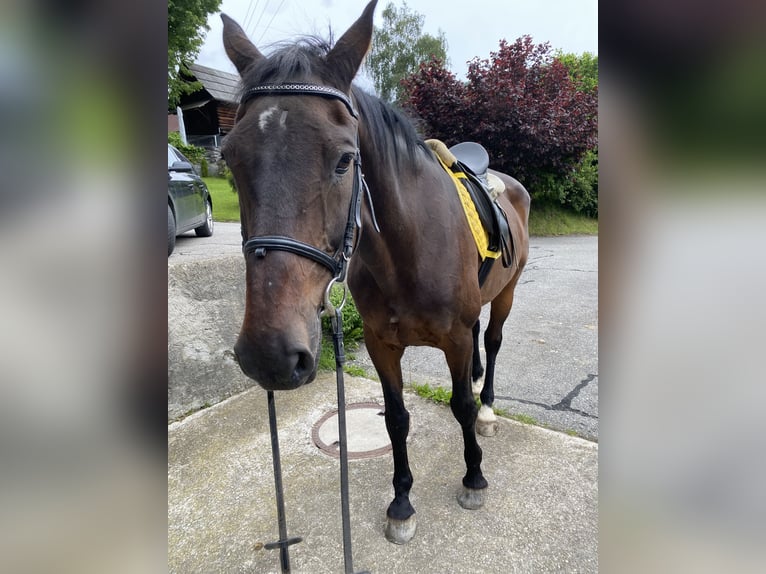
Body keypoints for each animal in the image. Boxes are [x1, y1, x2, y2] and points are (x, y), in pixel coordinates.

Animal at [222, 0, 529, 544]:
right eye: (230, 160)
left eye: (345, 160)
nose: (269, 355)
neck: (407, 251)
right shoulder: (381, 344)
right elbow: (397, 420)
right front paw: (402, 502)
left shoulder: (453, 339)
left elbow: (461, 407)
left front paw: (473, 476)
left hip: (506, 294)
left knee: (491, 344)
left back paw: (489, 407)